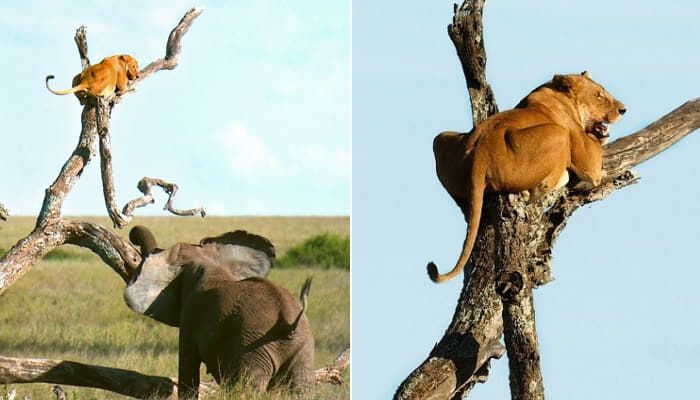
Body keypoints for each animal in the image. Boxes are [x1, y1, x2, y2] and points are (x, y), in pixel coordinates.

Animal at [123, 227, 314, 398]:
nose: (133, 236)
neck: (203, 260)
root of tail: (288, 322)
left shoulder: (191, 315)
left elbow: (187, 366)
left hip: (254, 347)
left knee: (246, 389)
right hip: (302, 349)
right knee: (301, 389)